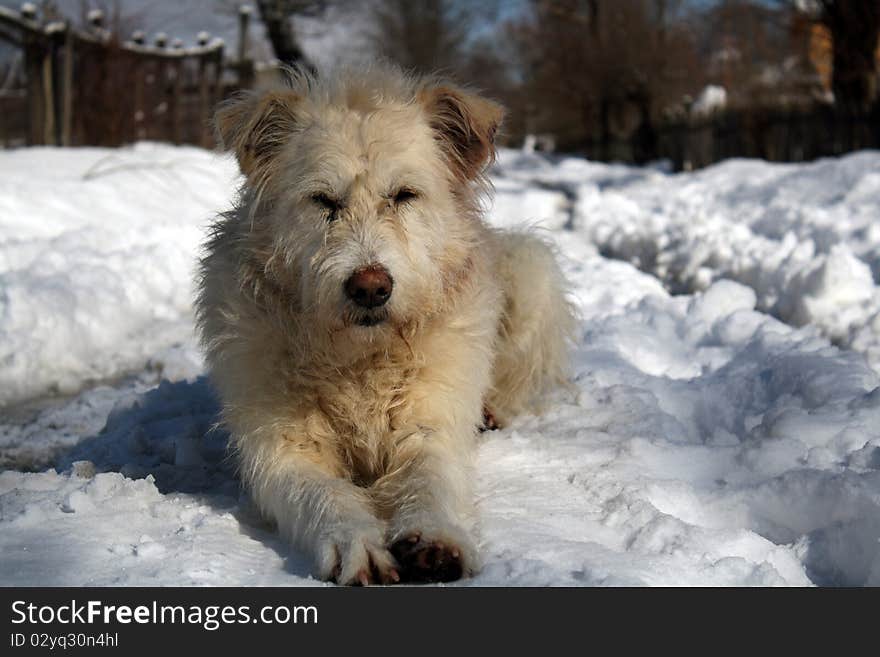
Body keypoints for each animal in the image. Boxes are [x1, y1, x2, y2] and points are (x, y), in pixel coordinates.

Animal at [196, 64, 576, 580]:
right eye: (323, 201)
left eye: (404, 195)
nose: (370, 287)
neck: (361, 357)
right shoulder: (282, 448)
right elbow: (324, 495)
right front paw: (356, 543)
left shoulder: (431, 424)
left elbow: (429, 480)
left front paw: (434, 538)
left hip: (531, 265)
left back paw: (492, 412)